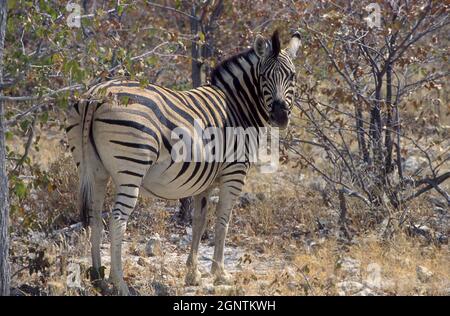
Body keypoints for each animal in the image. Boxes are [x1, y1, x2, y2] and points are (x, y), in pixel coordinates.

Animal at [66, 30, 298, 296]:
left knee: (94, 216)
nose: (280, 116)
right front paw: (220, 273)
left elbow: (199, 221)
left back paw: (98, 278)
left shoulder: (204, 181)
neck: (238, 106)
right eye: (263, 76)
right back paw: (120, 284)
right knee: (117, 220)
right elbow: (222, 221)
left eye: (292, 76)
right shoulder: (235, 173)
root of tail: (95, 96)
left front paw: (193, 273)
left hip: (93, 169)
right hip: (130, 167)